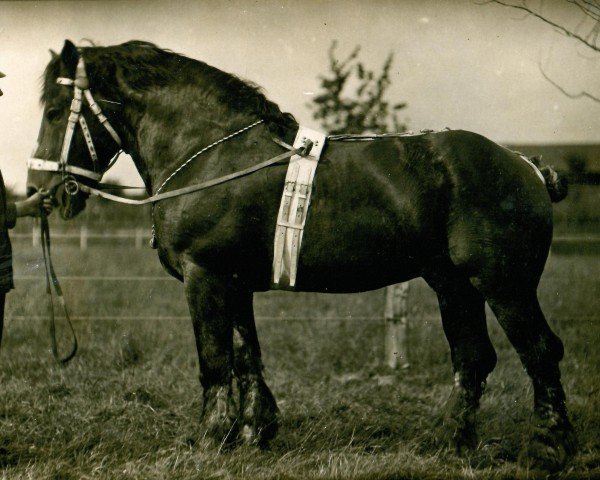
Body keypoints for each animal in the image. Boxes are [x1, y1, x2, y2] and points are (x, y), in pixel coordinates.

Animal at [27, 40, 576, 472]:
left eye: (55, 112)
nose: (40, 191)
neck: (210, 154)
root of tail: (526, 165)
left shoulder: (204, 278)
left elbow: (215, 362)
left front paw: (208, 439)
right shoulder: (233, 283)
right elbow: (247, 356)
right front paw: (253, 432)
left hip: (504, 285)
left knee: (540, 352)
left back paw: (550, 447)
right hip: (453, 285)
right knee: (473, 359)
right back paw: (454, 443)